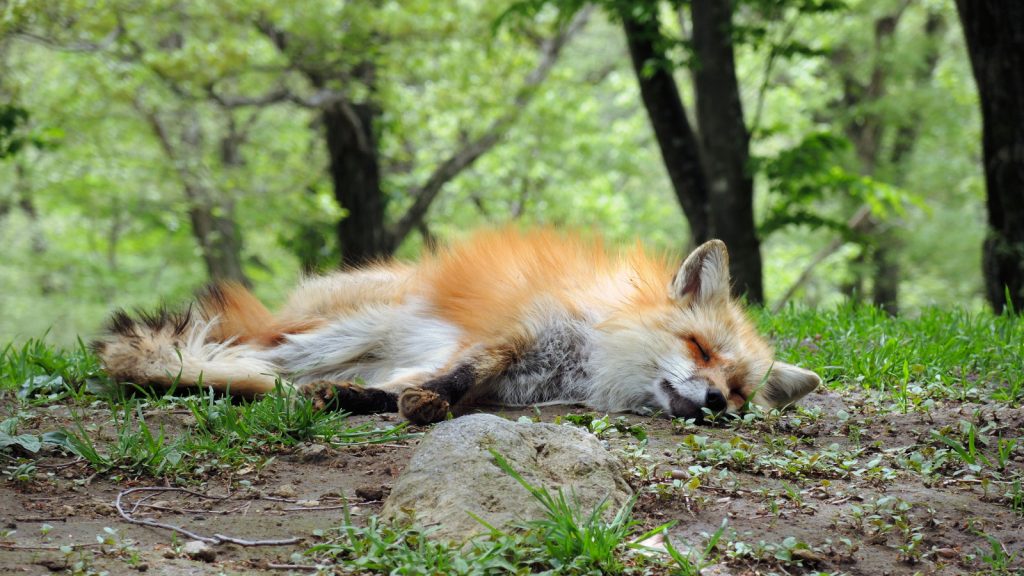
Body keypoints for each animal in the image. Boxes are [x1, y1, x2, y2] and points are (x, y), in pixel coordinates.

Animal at [92, 228, 821, 424]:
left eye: (740, 392)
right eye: (698, 347)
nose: (715, 403)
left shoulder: (506, 384)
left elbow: (410, 388)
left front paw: (379, 401)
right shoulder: (513, 332)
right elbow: (461, 371)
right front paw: (424, 404)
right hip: (354, 324)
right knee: (246, 362)